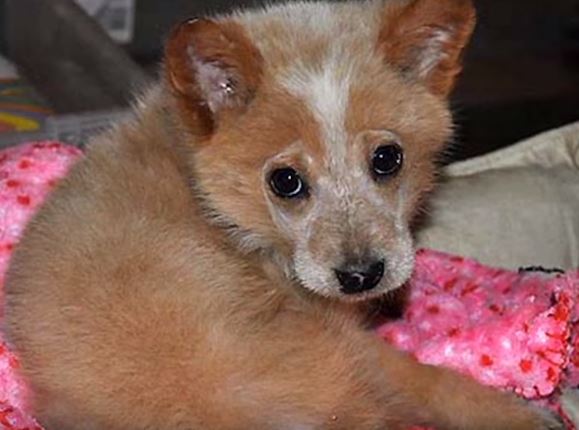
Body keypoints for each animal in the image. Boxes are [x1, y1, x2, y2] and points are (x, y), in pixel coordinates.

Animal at [2, 0, 564, 428]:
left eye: (387, 158)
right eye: (285, 181)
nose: (361, 276)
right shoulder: (352, 346)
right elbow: (426, 378)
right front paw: (521, 414)